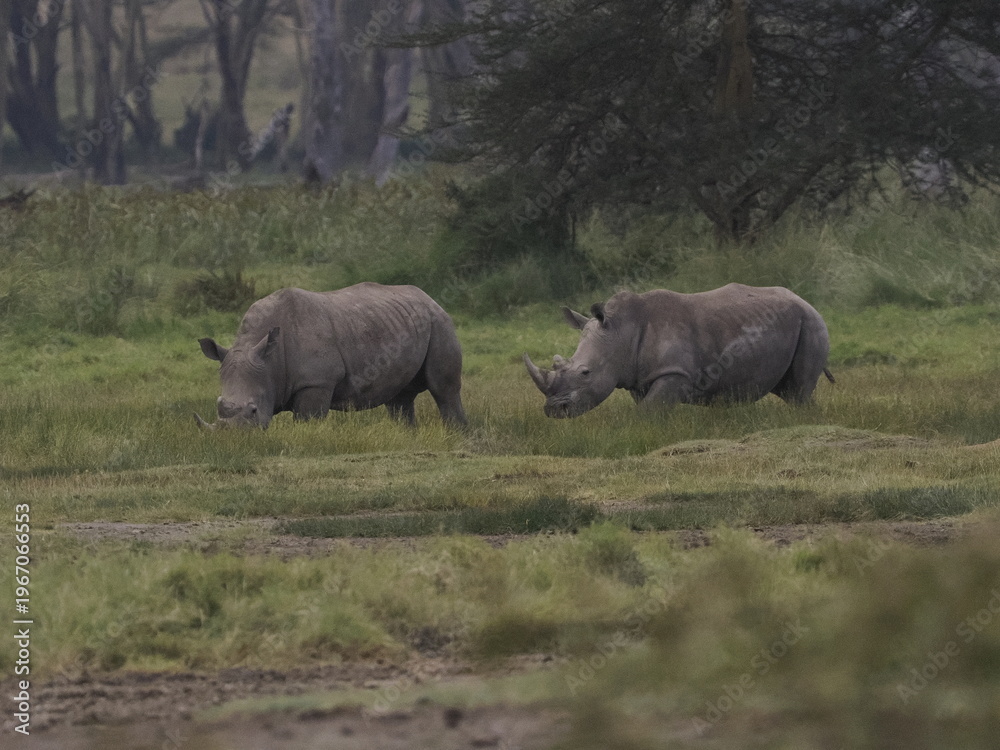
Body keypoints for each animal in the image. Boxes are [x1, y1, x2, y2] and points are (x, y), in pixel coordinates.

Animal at [196, 283, 467, 429]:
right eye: (219, 405)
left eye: (253, 410)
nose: (231, 435)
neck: (270, 361)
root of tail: (429, 298)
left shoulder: (317, 382)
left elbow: (307, 421)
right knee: (399, 398)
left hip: (438, 322)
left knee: (443, 389)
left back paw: (456, 434)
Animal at [524, 284, 834, 418]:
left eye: (585, 372)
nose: (554, 411)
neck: (621, 331)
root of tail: (804, 300)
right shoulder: (640, 377)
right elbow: (649, 407)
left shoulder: (674, 373)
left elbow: (650, 410)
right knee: (789, 390)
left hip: (811, 322)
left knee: (799, 391)